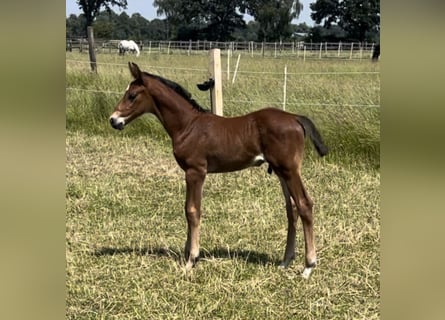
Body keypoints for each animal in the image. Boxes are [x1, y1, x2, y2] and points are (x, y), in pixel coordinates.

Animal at [109, 62, 328, 278]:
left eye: (132, 95)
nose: (113, 120)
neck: (188, 126)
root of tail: (295, 118)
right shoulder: (190, 173)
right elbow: (187, 209)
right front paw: (187, 253)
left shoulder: (195, 171)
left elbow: (192, 211)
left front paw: (191, 260)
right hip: (281, 171)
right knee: (291, 209)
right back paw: (285, 261)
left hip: (289, 170)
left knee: (304, 204)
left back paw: (308, 266)